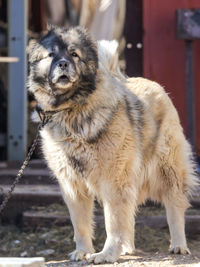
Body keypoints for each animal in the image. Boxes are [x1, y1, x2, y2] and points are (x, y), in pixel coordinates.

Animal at [27, 26, 197, 264]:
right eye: (51, 55)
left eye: (74, 54)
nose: (62, 64)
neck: (73, 109)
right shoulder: (72, 185)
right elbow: (80, 223)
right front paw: (83, 251)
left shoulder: (113, 181)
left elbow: (113, 222)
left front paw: (106, 254)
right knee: (130, 213)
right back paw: (126, 248)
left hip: (167, 170)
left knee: (175, 206)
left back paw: (179, 245)